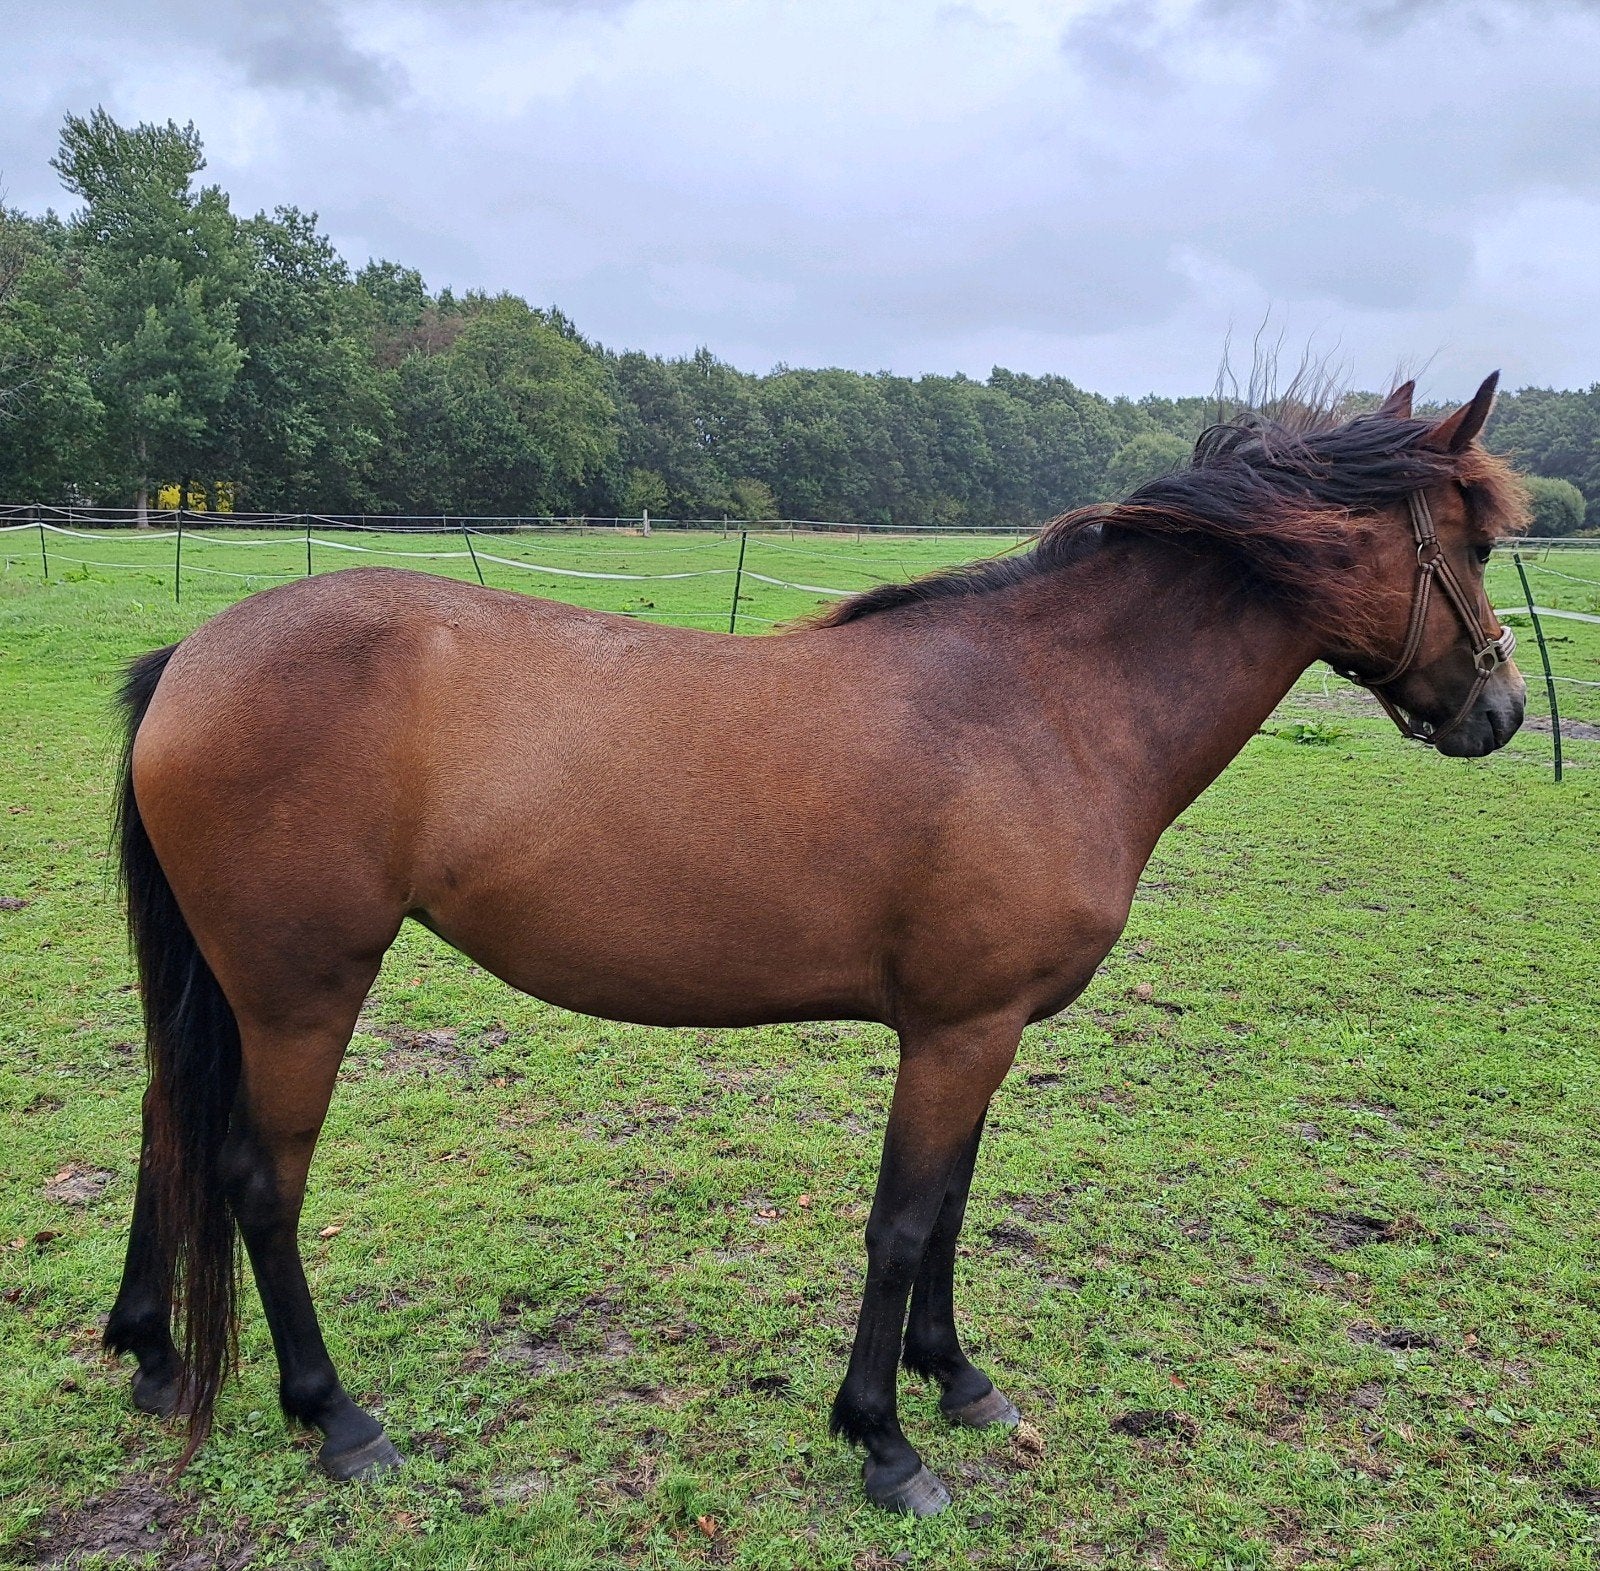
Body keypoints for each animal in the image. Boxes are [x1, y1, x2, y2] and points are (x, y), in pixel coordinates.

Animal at [104, 374, 1527, 1516]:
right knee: (257, 1180)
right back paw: (334, 1415)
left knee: (168, 1124)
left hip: (225, 990)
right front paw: (884, 1441)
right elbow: (899, 1222)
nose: (1504, 712)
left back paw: (152, 1351)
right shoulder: (955, 1031)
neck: (1049, 707)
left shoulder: (982, 1030)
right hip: (300, 992)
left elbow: (949, 1206)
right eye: (1469, 541)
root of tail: (195, 658)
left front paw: (957, 1376)